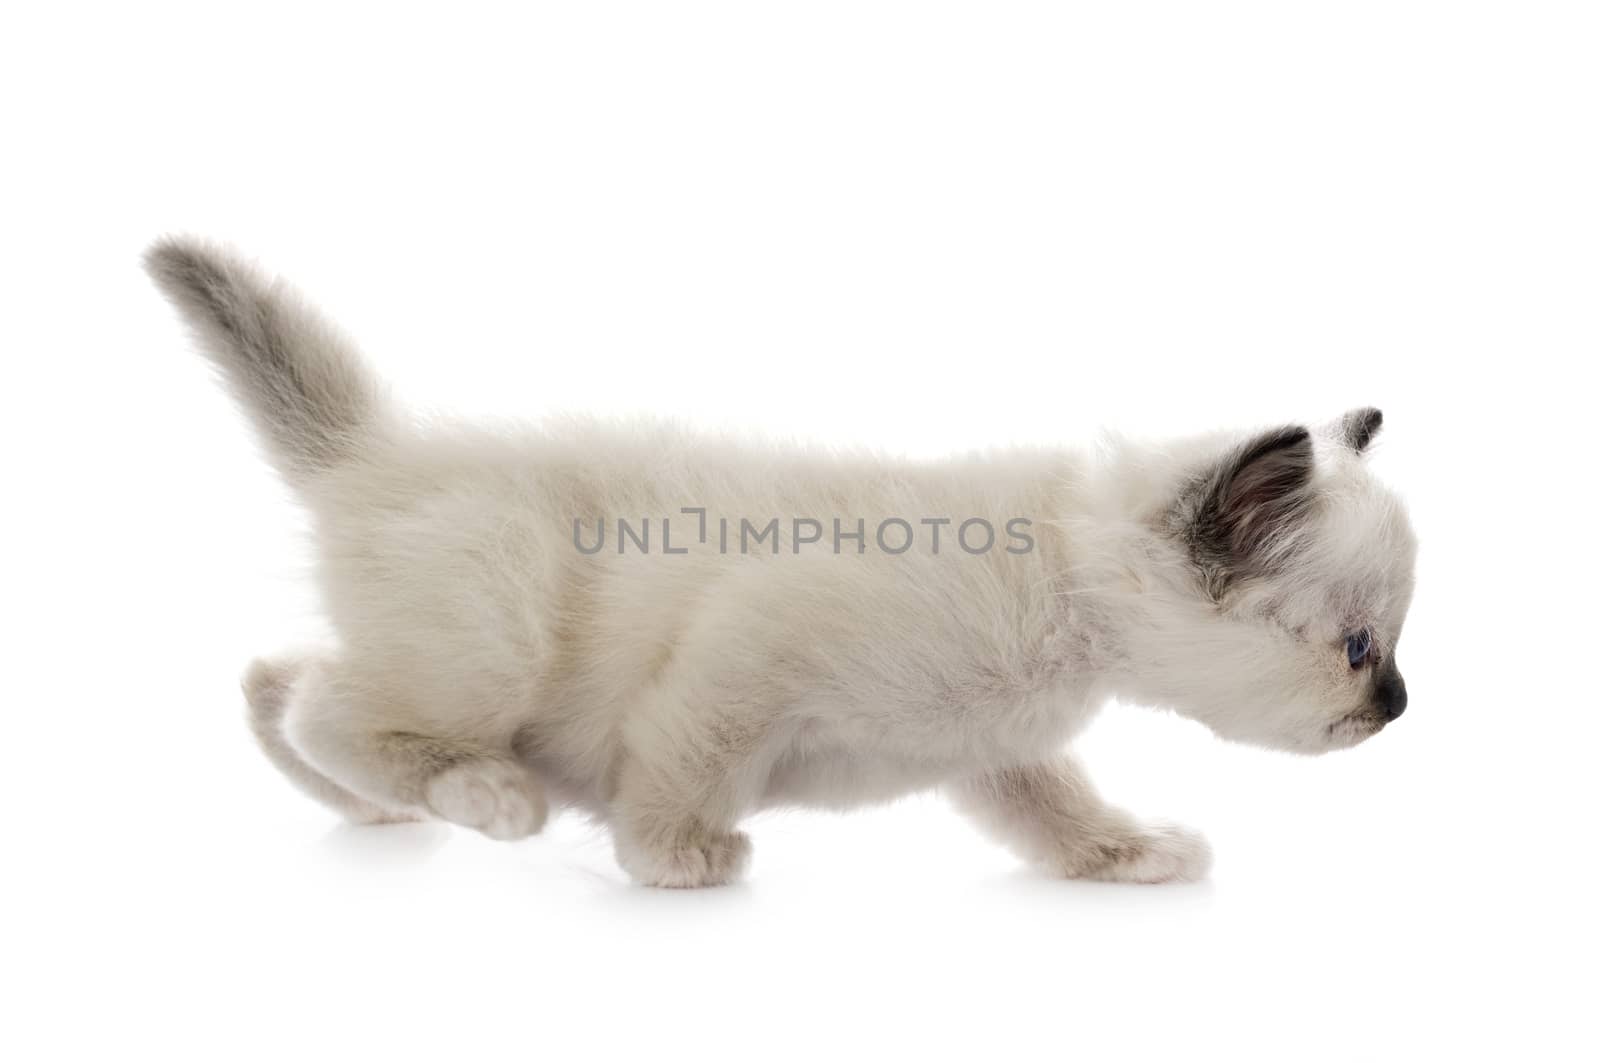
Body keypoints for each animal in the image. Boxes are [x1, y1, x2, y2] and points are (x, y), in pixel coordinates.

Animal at [147, 240, 1414, 890]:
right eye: (1359, 647)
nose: (1398, 707)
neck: (1058, 591)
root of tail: (375, 451)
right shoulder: (744, 651)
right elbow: (681, 764)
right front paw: (670, 856)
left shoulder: (994, 743)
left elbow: (1054, 808)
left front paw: (1124, 851)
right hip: (494, 636)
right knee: (323, 703)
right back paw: (486, 796)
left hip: (432, 644)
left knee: (276, 681)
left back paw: (377, 809)